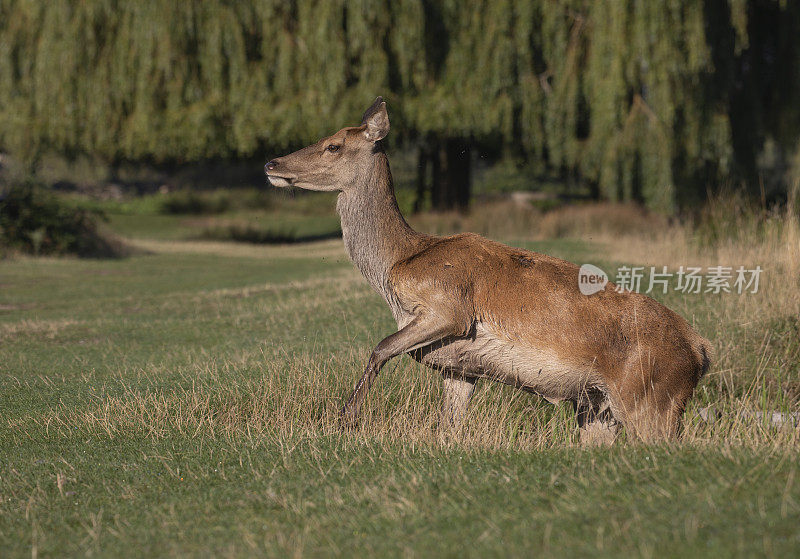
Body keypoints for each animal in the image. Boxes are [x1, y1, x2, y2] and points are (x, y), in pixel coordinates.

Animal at [268, 98, 712, 444]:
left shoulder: (449, 308)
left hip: (651, 398)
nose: (272, 163)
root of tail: (701, 350)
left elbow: (380, 346)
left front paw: (345, 419)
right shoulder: (458, 368)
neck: (395, 265)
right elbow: (448, 427)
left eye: (333, 145)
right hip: (599, 409)